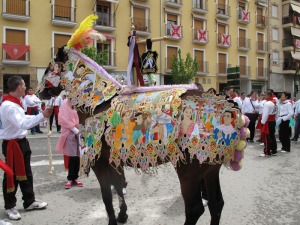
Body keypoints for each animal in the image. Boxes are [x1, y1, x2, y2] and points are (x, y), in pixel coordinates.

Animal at [37, 14, 248, 224]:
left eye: (49, 68)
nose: (40, 93)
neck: (99, 101)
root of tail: (227, 107)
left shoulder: (99, 162)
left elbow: (107, 196)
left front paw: (113, 219)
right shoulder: (115, 159)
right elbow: (118, 188)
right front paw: (123, 215)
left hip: (189, 171)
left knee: (195, 208)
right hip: (210, 169)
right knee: (216, 204)